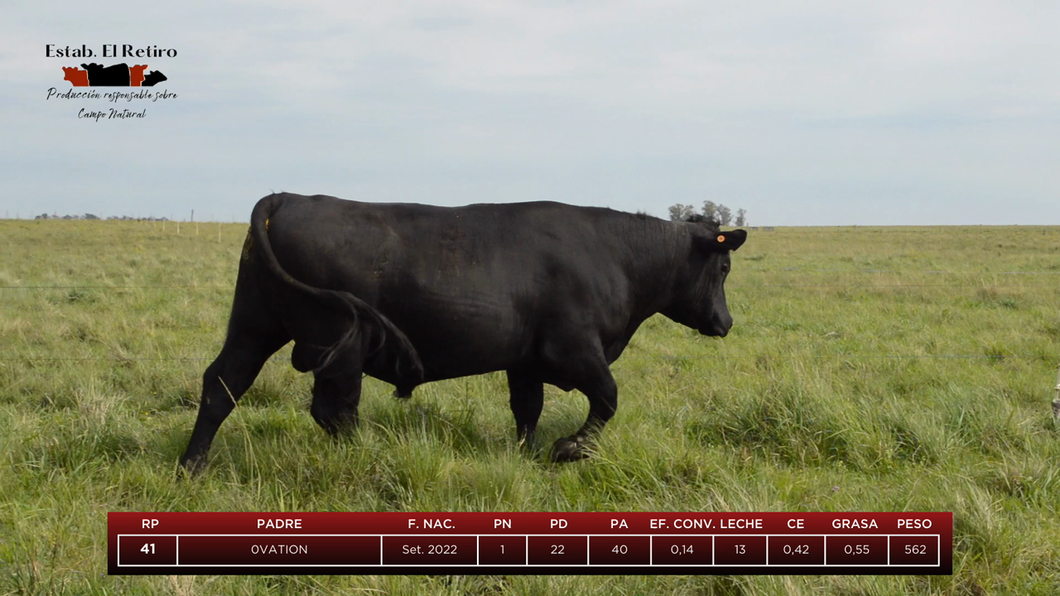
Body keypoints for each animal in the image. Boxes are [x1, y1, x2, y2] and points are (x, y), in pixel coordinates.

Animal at [180, 193, 746, 470]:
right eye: (722, 268)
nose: (726, 323)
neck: (616, 256)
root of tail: (288, 197)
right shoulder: (575, 349)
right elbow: (607, 399)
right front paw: (568, 451)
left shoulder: (526, 361)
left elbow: (527, 411)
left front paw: (525, 457)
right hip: (340, 342)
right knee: (333, 410)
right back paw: (371, 454)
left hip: (255, 324)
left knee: (223, 385)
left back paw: (192, 465)